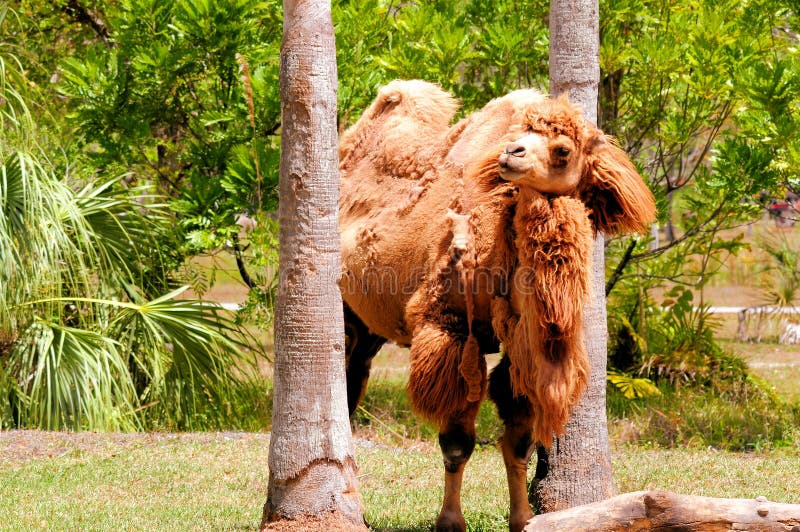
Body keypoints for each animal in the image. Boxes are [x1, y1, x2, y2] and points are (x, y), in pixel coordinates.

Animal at [338, 80, 656, 532]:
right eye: (518, 135)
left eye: (563, 149)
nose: (511, 153)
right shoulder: (451, 328)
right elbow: (457, 442)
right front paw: (450, 521)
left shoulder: (521, 345)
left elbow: (519, 440)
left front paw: (522, 518)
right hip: (345, 309)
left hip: (369, 328)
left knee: (354, 378)